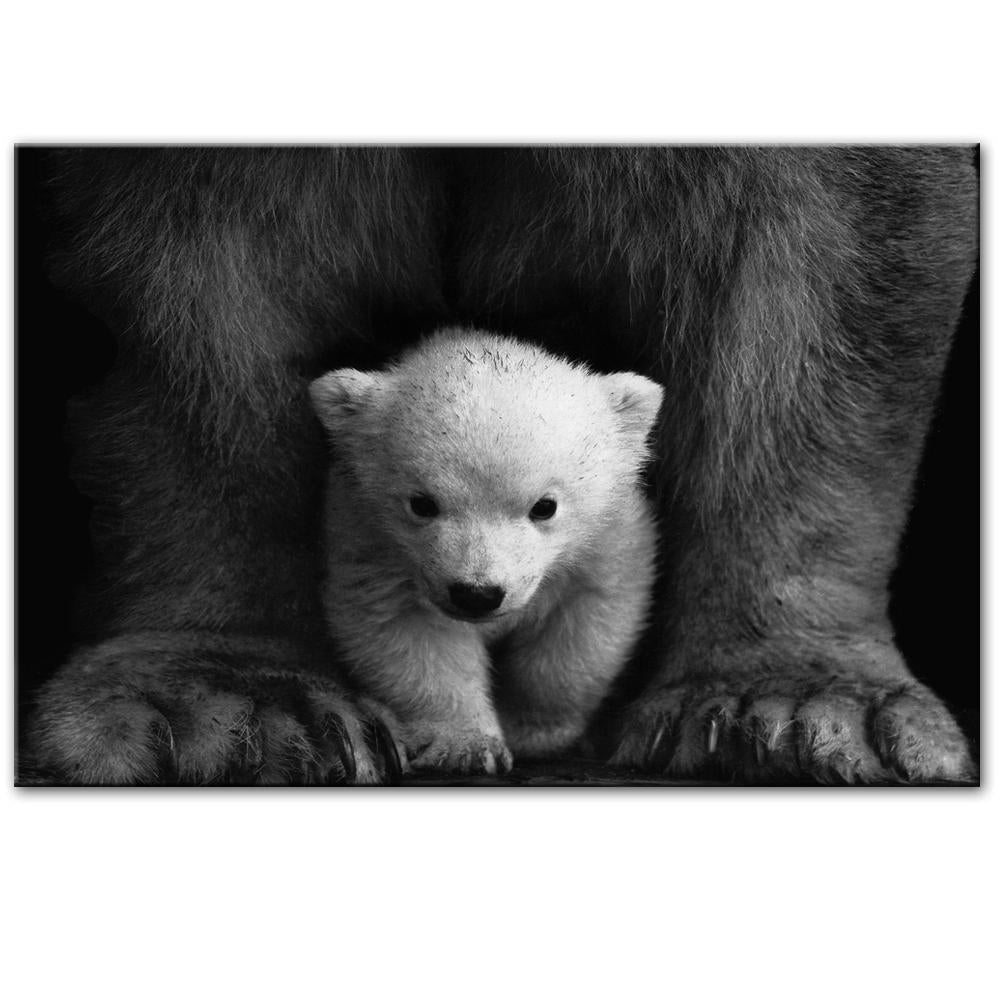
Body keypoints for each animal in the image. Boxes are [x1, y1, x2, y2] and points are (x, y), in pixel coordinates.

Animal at [308, 329, 663, 775]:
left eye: (544, 506)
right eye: (422, 503)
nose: (477, 594)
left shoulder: (607, 541)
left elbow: (583, 627)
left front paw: (534, 732)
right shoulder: (370, 542)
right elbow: (409, 633)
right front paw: (467, 746)